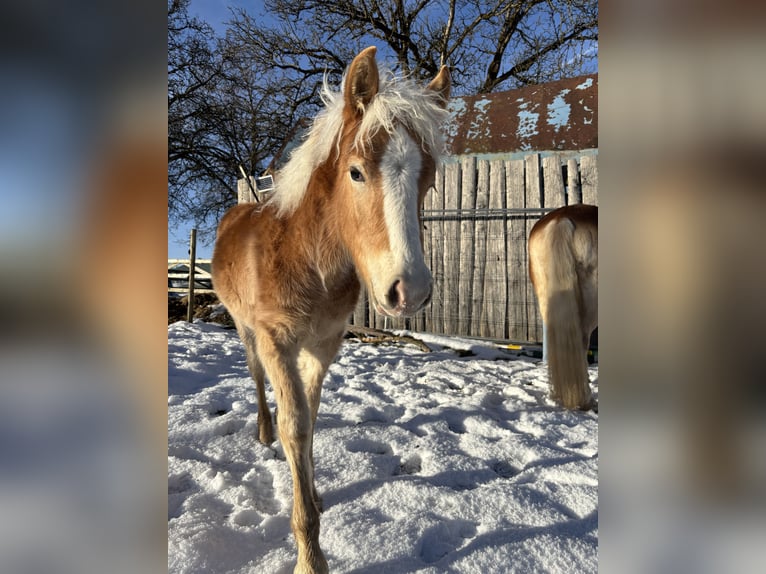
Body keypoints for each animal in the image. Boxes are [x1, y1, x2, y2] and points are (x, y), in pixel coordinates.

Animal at [212, 47, 450, 572]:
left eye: (428, 180)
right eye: (356, 172)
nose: (410, 291)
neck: (307, 259)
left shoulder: (323, 345)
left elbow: (313, 414)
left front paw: (315, 495)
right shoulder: (277, 342)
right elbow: (295, 425)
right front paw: (309, 554)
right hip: (244, 329)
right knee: (255, 376)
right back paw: (262, 431)